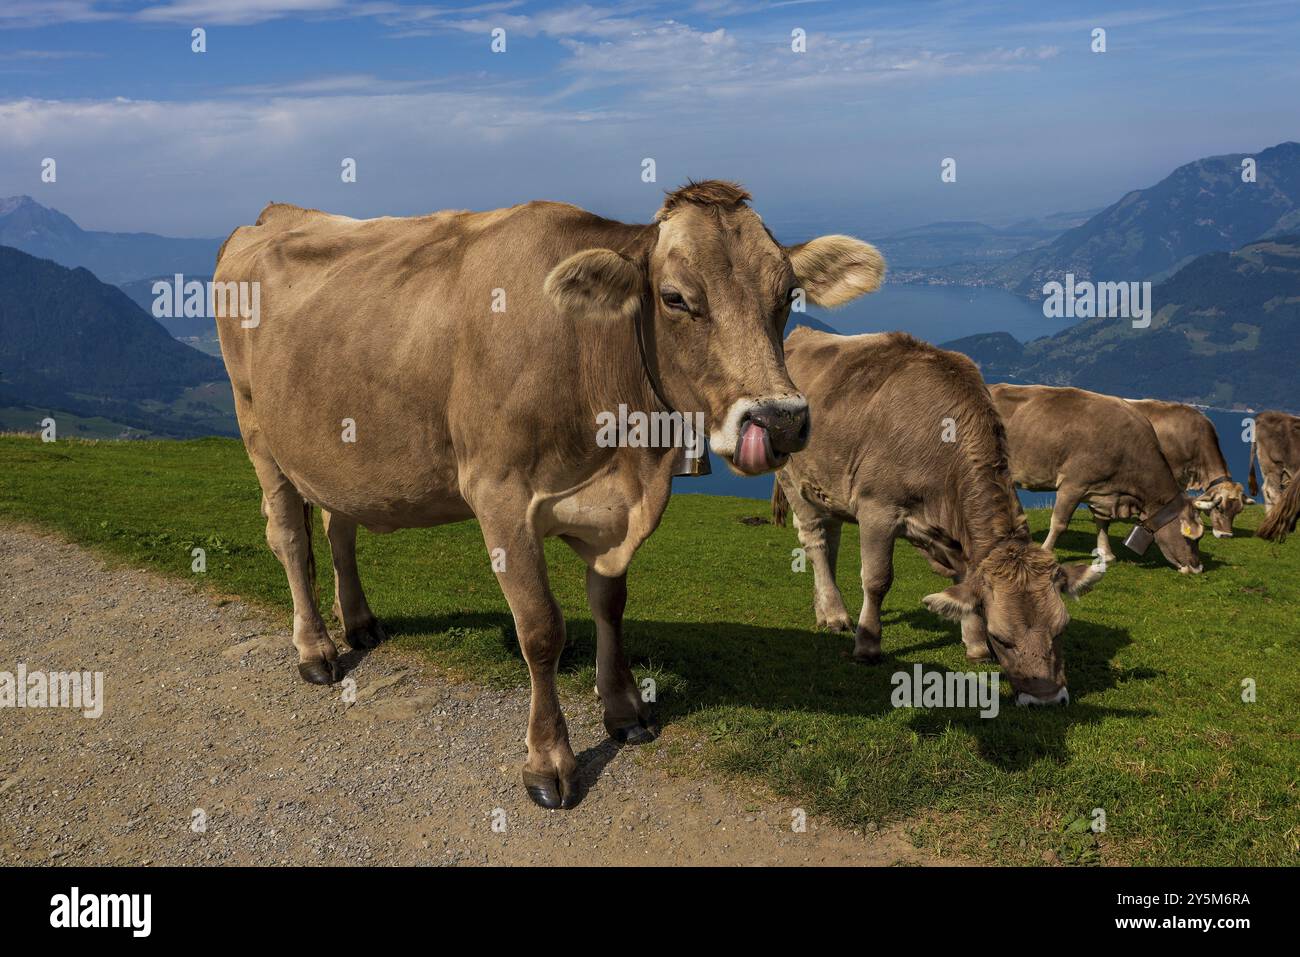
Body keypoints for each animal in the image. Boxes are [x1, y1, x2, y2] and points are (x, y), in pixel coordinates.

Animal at [213, 181, 885, 809]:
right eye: (675, 298)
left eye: (787, 297)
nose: (779, 421)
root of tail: (272, 216)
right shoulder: (500, 495)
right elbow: (541, 630)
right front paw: (549, 761)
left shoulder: (613, 512)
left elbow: (610, 603)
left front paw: (624, 709)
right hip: (257, 431)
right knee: (290, 539)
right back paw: (316, 650)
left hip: (336, 451)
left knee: (339, 527)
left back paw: (359, 623)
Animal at [772, 331, 1104, 707]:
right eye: (1001, 637)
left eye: (1061, 630)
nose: (1046, 700)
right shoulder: (877, 509)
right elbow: (877, 580)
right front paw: (867, 647)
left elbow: (965, 581)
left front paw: (974, 644)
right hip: (793, 479)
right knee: (814, 542)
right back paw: (837, 612)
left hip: (828, 487)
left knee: (830, 541)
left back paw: (824, 610)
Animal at [988, 384, 1205, 573]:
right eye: (1190, 538)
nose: (1198, 568)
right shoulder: (1073, 485)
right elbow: (1059, 523)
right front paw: (1046, 551)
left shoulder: (1102, 490)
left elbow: (1102, 522)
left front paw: (1106, 554)